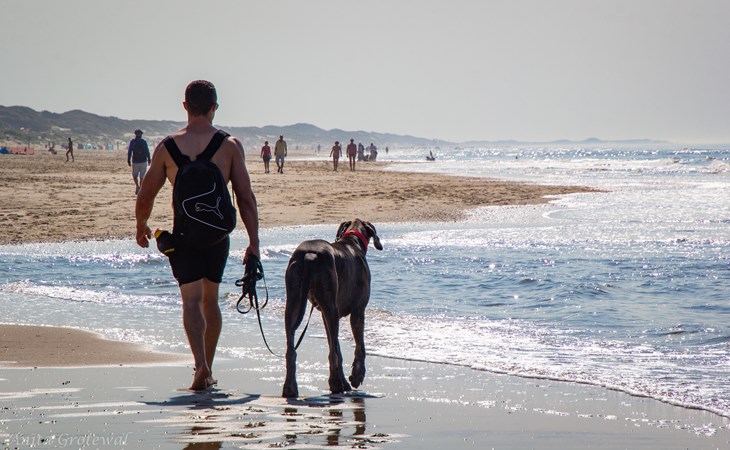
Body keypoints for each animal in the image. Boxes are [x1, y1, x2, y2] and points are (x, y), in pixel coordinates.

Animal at [282, 219, 382, 397]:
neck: (352, 240)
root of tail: (309, 256)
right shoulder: (358, 311)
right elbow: (360, 346)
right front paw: (357, 375)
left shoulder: (324, 314)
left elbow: (334, 344)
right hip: (330, 303)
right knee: (334, 353)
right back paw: (336, 384)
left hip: (294, 300)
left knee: (292, 349)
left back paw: (290, 387)